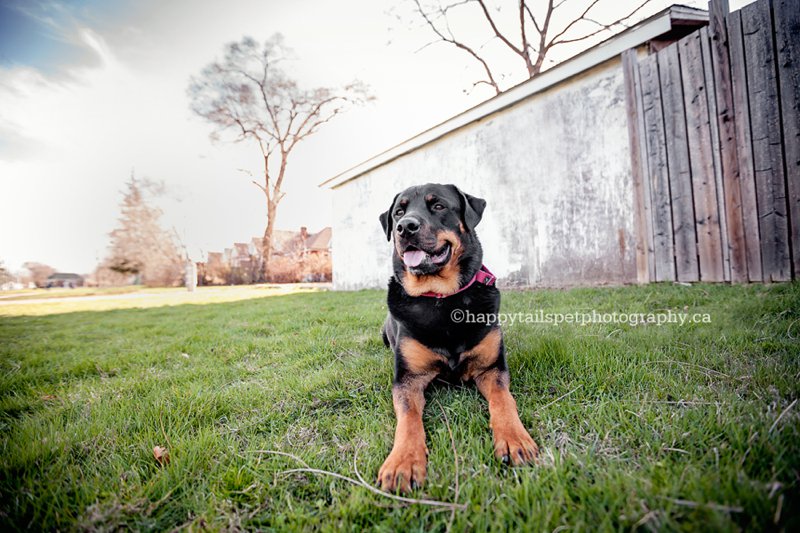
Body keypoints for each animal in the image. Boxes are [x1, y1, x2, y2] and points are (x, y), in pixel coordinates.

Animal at [378, 182, 540, 490]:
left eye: (439, 206)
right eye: (398, 212)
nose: (405, 227)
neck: (442, 299)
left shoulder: (491, 368)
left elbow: (504, 400)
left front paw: (514, 438)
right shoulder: (407, 379)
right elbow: (408, 418)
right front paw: (403, 461)